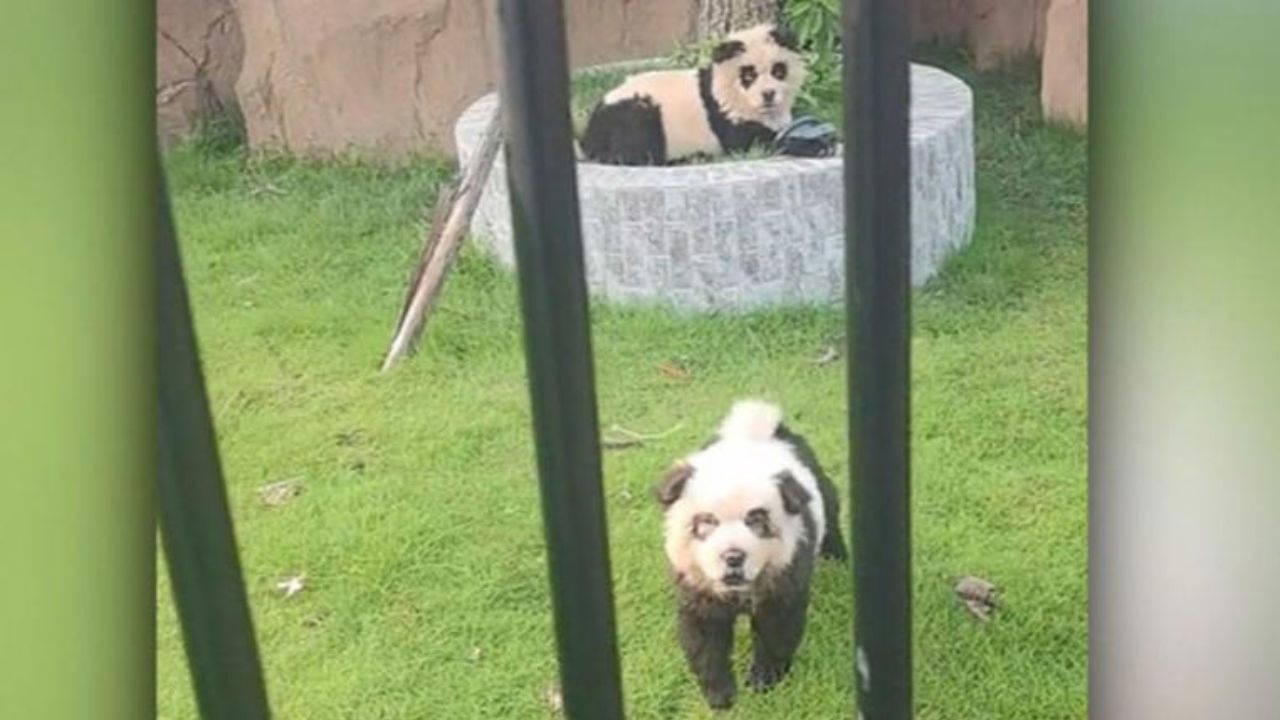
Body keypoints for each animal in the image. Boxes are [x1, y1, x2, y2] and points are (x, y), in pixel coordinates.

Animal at [579, 24, 806, 166]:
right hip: (637, 111)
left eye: (778, 71)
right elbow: (748, 141)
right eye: (748, 76)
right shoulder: (725, 112)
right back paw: (687, 158)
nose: (768, 94)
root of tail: (590, 134)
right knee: (634, 148)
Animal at [652, 399, 847, 709]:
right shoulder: (698, 587)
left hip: (818, 483)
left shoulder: (784, 574)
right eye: (706, 522)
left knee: (831, 511)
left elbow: (776, 630)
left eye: (756, 521)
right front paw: (720, 695)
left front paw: (763, 682)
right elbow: (704, 638)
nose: (733, 556)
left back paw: (837, 558)